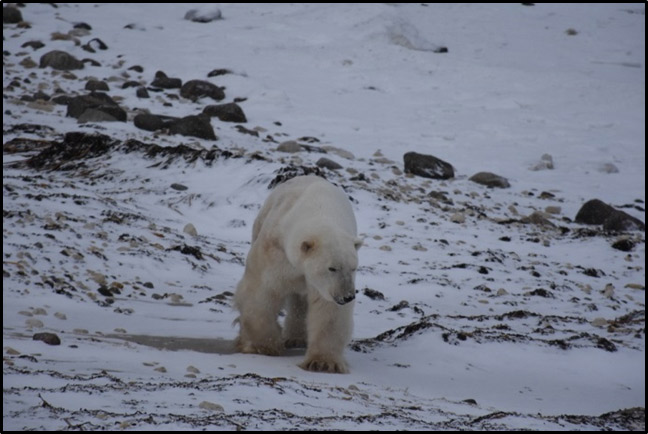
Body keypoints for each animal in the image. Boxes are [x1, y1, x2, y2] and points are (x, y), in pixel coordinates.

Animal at [233, 175, 360, 372]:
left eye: (353, 268)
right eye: (332, 268)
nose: (347, 296)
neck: (318, 208)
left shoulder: (323, 285)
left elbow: (328, 311)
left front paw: (322, 363)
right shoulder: (275, 251)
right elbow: (261, 291)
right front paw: (263, 346)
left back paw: (296, 338)